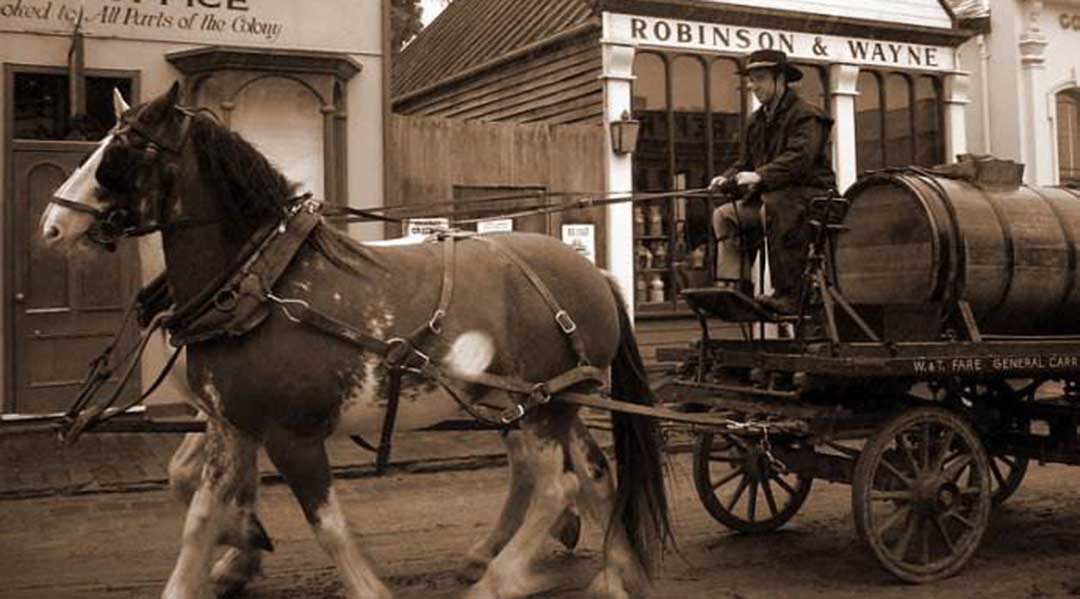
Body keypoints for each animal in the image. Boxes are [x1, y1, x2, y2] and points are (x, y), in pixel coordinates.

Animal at [41, 82, 671, 599]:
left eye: (121, 152)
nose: (51, 223)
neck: (258, 287)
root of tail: (594, 272)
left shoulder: (289, 434)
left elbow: (328, 526)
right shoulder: (231, 424)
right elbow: (198, 512)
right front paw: (236, 546)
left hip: (537, 405)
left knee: (554, 485)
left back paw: (501, 577)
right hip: (548, 401)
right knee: (589, 472)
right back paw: (618, 572)